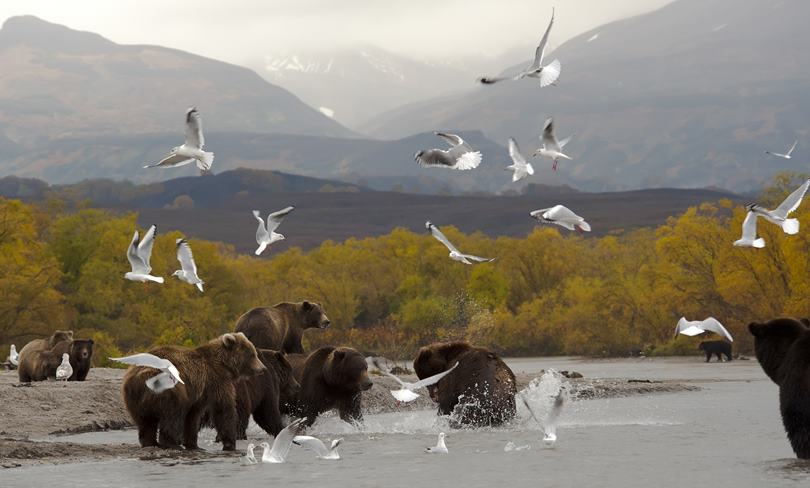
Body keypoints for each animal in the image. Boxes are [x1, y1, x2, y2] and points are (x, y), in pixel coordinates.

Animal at [120, 334, 266, 452]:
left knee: (145, 422)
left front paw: (194, 445)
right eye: (252, 354)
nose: (263, 368)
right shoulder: (216, 380)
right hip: (170, 389)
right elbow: (223, 409)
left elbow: (193, 417)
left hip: (133, 399)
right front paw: (230, 444)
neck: (224, 365)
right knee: (172, 415)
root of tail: (139, 378)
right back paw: (172, 444)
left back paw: (151, 443)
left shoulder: (199, 393)